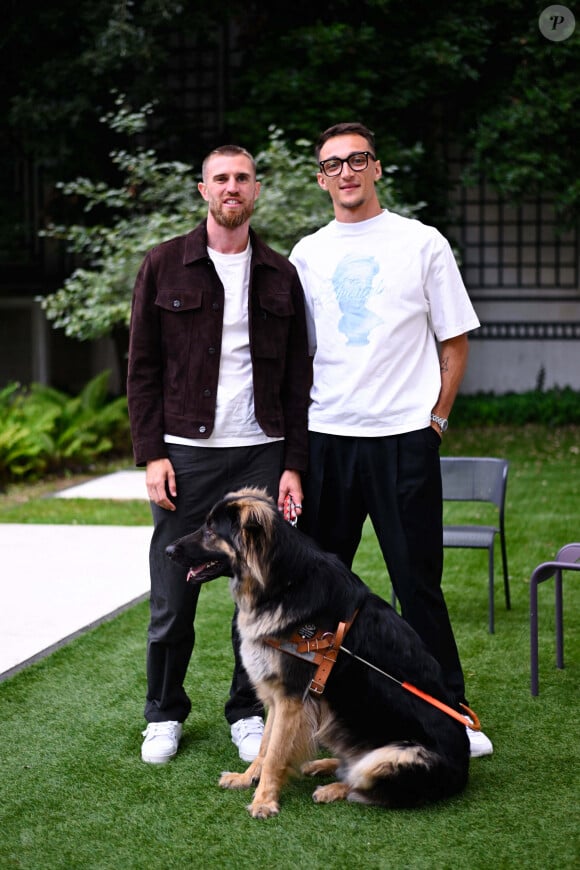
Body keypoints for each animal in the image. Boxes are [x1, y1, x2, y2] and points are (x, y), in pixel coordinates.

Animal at [165, 494, 468, 820]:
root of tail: (464, 773)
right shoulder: (278, 696)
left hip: (394, 755)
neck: (284, 585)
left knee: (361, 783)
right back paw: (321, 766)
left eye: (210, 531)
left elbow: (275, 754)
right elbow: (265, 747)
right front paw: (247, 778)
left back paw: (332, 788)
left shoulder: (291, 698)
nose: (168, 551)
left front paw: (264, 801)